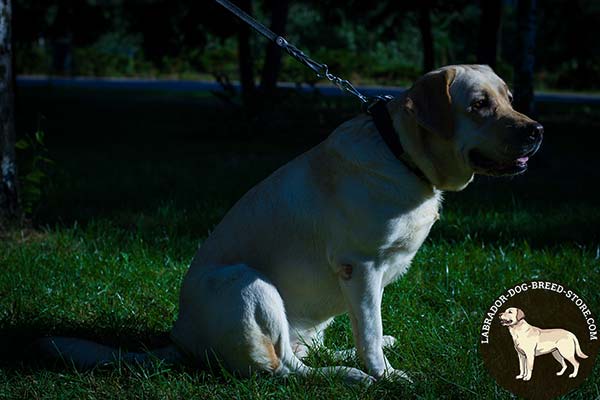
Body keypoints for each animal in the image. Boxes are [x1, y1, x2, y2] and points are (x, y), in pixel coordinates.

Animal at [42, 65, 544, 384]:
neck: (403, 156)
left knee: (304, 349)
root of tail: (180, 340)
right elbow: (369, 332)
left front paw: (378, 354)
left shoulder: (363, 281)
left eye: (509, 99)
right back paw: (351, 376)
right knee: (283, 369)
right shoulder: (360, 266)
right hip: (248, 284)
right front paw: (386, 376)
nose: (536, 130)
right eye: (478, 104)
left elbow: (368, 329)